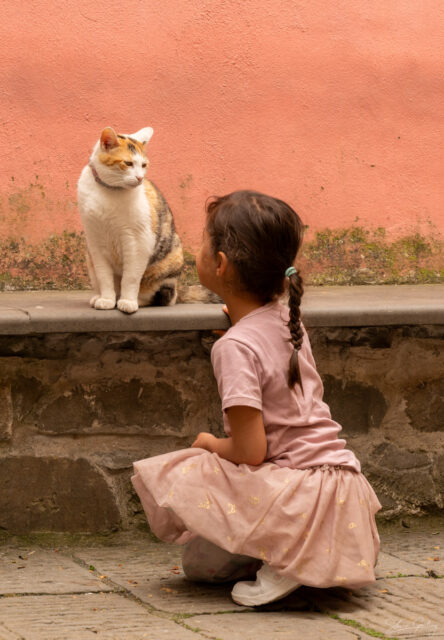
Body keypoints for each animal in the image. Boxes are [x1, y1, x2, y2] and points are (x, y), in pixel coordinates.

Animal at [78, 124, 184, 314]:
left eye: (144, 165)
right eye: (127, 163)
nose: (140, 178)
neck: (110, 191)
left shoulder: (138, 240)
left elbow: (131, 277)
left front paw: (127, 302)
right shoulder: (95, 241)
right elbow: (104, 276)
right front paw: (106, 299)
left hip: (170, 262)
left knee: (163, 297)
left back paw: (135, 300)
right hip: (88, 258)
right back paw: (99, 297)